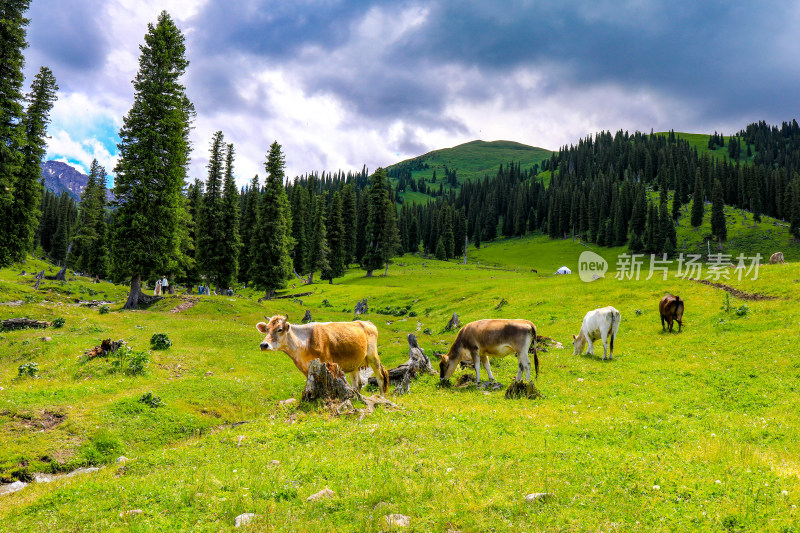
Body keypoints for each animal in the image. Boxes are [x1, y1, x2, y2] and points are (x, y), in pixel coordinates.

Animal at [255, 316, 390, 394]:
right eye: (266, 329)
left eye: (279, 329)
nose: (264, 345)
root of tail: (367, 322)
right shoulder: (306, 369)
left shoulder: (327, 364)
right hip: (355, 362)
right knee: (358, 383)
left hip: (373, 356)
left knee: (380, 377)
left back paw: (382, 398)